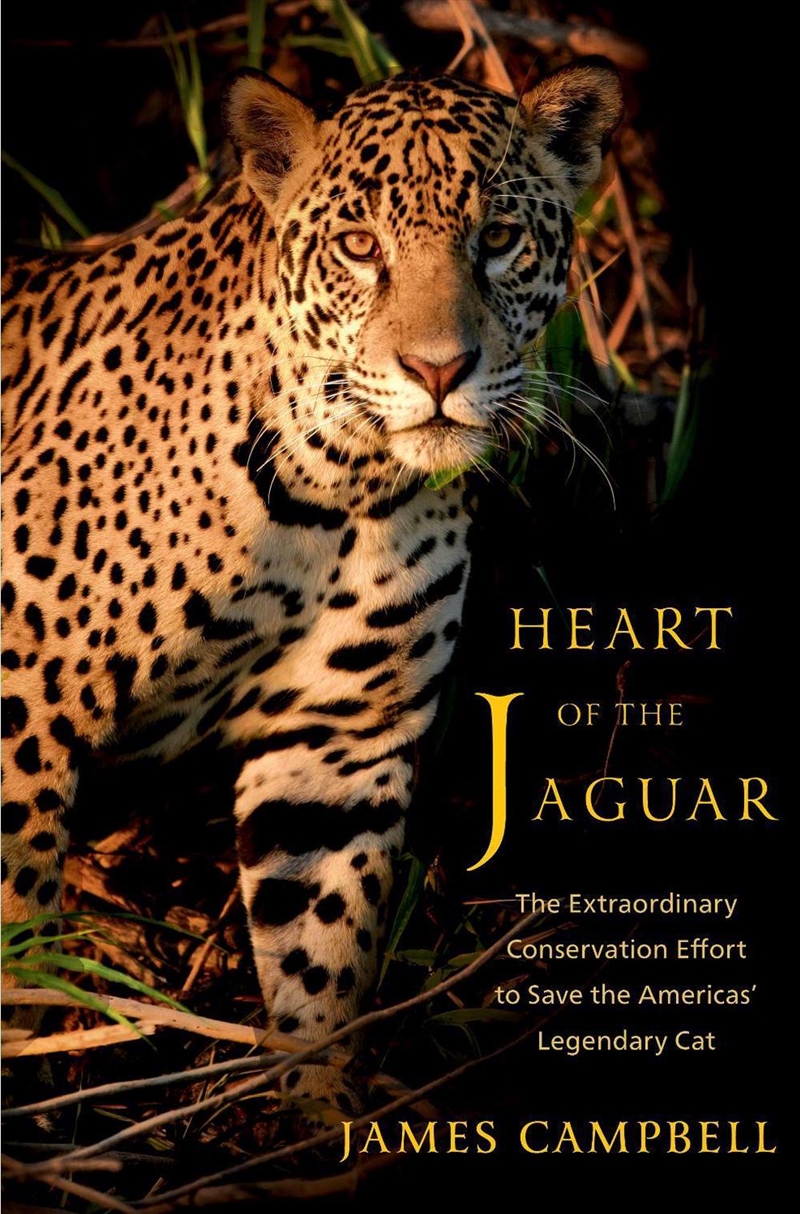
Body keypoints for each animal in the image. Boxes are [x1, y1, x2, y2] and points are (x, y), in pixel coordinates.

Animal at [1, 62, 622, 1110]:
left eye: (498, 239)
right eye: (360, 247)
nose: (438, 370)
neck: (337, 494)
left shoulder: (338, 745)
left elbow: (323, 945)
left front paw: (320, 1111)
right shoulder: (22, 696)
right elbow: (14, 910)